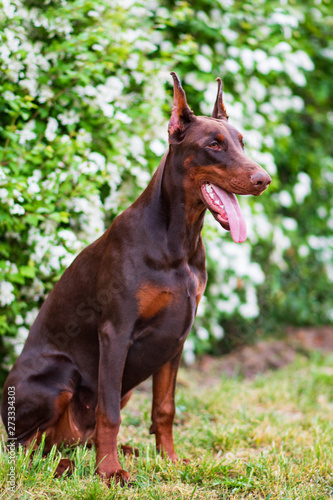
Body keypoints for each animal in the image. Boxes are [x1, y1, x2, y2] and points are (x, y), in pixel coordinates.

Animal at [0, 73, 270, 484]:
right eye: (213, 145)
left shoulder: (175, 337)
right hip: (58, 376)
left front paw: (168, 459)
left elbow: (164, 409)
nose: (264, 179)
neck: (178, 240)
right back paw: (68, 465)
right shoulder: (116, 331)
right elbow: (108, 412)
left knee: (65, 441)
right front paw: (109, 471)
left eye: (242, 142)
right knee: (24, 448)